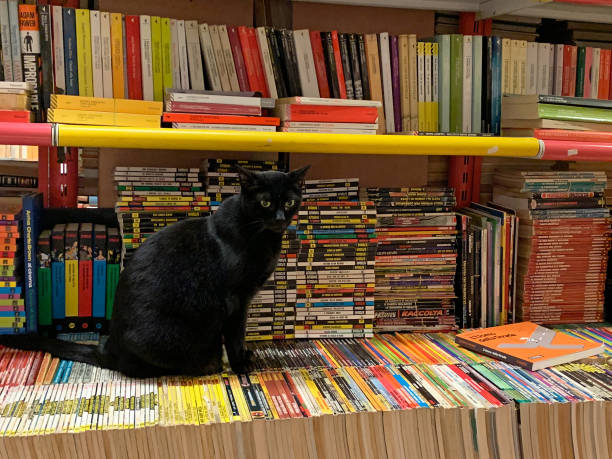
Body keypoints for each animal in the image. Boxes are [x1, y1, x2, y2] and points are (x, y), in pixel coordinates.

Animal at [0, 165, 308, 378]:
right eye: (266, 202)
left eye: (289, 202)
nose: (280, 218)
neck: (263, 236)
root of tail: (108, 350)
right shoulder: (237, 300)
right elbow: (235, 335)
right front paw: (240, 364)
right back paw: (208, 364)